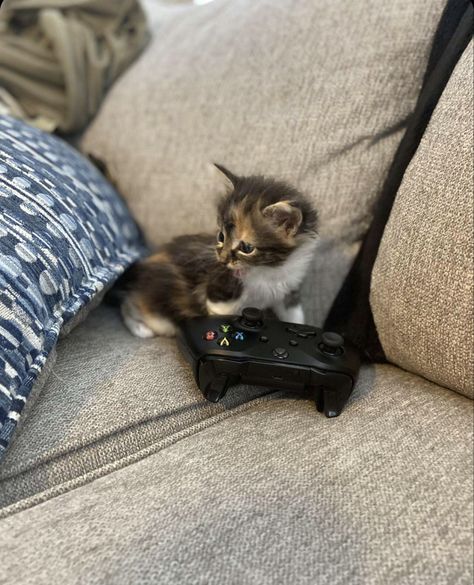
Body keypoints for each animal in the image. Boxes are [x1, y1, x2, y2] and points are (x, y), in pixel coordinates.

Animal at [118, 165, 318, 338]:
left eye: (246, 248)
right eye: (221, 236)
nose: (222, 260)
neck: (268, 269)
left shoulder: (289, 290)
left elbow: (294, 316)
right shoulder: (219, 295)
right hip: (160, 314)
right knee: (128, 304)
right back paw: (140, 329)